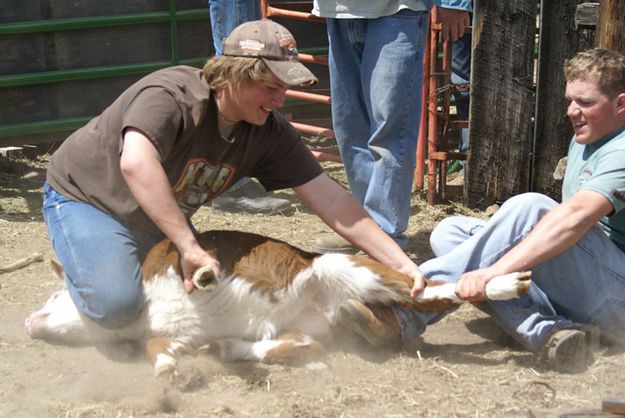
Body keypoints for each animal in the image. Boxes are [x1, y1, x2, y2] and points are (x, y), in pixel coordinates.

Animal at [25, 229, 532, 376]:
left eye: (55, 293)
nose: (29, 321)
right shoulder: (172, 334)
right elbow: (159, 348)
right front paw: (171, 367)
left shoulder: (165, 259)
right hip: (314, 326)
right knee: (305, 346)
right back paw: (230, 348)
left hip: (350, 267)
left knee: (428, 293)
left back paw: (506, 284)